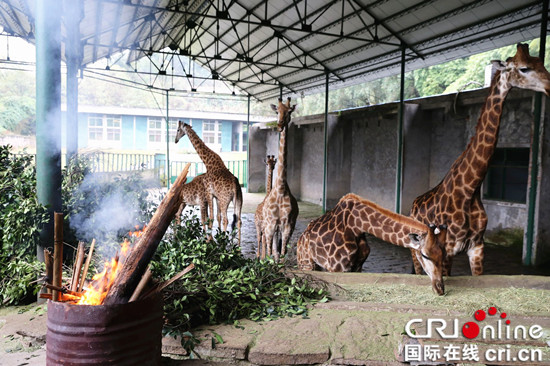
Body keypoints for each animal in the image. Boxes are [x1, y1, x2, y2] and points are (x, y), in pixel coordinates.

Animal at [298, 194, 448, 294]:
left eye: (444, 255)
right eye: (425, 255)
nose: (440, 289)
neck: (356, 226)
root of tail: (302, 237)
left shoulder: (358, 266)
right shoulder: (337, 267)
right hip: (306, 263)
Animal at [410, 43, 550, 276]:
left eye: (542, 63)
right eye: (524, 68)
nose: (549, 86)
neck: (470, 189)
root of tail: (413, 204)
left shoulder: (476, 246)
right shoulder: (448, 248)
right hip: (415, 251)